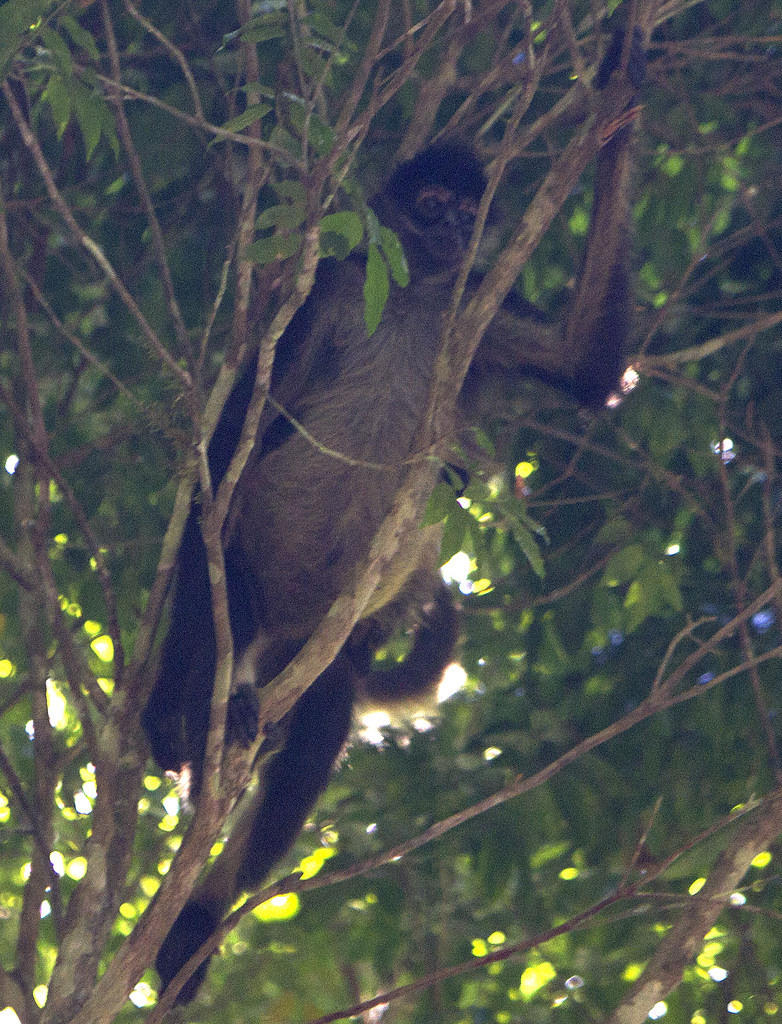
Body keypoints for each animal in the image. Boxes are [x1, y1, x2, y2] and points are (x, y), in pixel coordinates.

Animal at [143, 25, 642, 1007]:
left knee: (319, 727)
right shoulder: (330, 288)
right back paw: (200, 707)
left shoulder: (476, 301)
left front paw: (617, 91)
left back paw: (196, 921)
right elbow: (224, 457)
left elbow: (584, 369)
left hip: (321, 652)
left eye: (465, 210)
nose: (450, 227)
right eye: (432, 202)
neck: (411, 291)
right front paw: (168, 715)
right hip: (253, 596)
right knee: (227, 596)